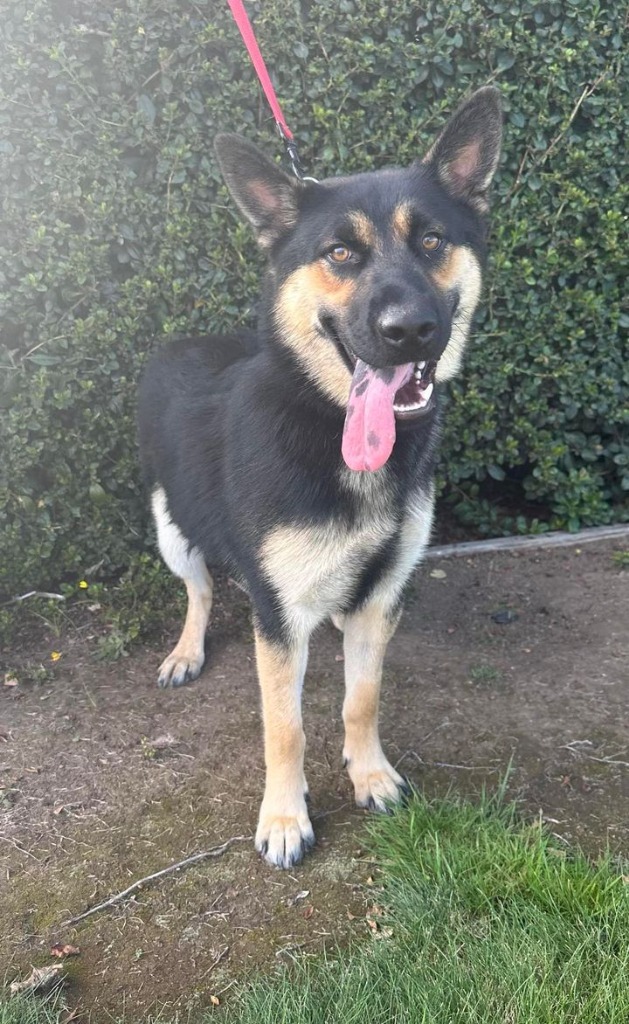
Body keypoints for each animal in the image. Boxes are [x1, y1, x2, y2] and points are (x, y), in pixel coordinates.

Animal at [140, 92, 506, 868]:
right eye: (340, 253)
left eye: (432, 241)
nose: (410, 330)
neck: (326, 421)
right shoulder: (278, 620)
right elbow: (284, 727)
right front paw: (283, 817)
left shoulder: (382, 595)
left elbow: (361, 699)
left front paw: (369, 774)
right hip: (169, 527)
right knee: (200, 587)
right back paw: (187, 650)